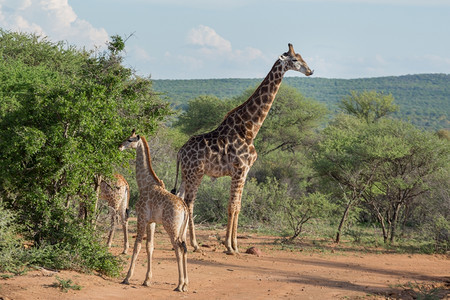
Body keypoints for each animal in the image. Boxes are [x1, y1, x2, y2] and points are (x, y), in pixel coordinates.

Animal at [118, 129, 189, 292]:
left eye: (130, 139)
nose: (120, 146)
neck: (144, 183)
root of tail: (185, 208)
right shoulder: (152, 222)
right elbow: (149, 246)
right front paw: (147, 280)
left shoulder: (142, 217)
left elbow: (137, 245)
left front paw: (127, 278)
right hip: (182, 229)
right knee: (184, 247)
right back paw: (185, 284)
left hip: (171, 227)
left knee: (178, 248)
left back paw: (179, 285)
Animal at [171, 43, 312, 254]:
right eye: (295, 59)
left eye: (302, 58)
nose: (311, 71)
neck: (249, 129)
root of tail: (180, 152)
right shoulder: (239, 169)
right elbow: (232, 206)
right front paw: (229, 246)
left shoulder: (245, 171)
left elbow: (238, 206)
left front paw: (235, 245)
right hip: (195, 173)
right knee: (189, 202)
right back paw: (194, 244)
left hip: (187, 174)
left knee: (181, 199)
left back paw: (183, 241)